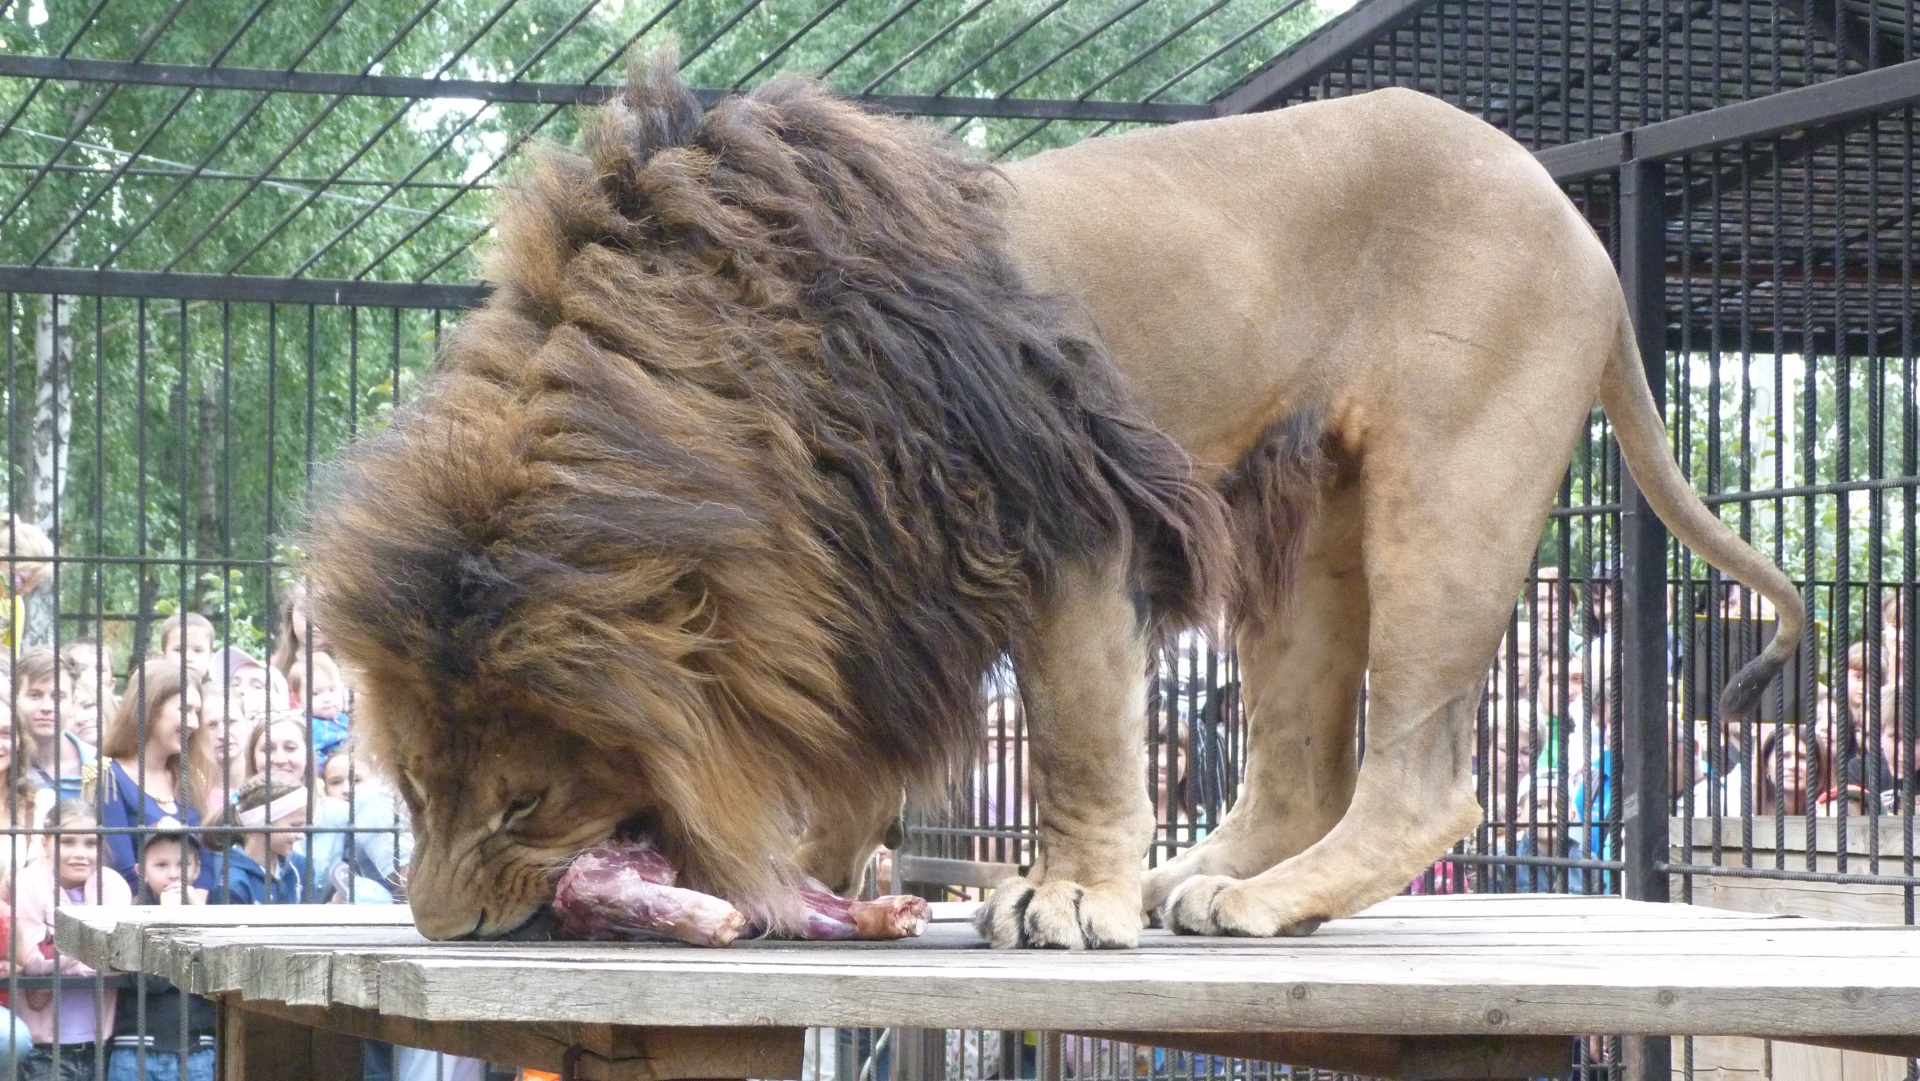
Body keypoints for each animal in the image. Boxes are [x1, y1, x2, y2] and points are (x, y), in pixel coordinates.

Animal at [305, 55, 1801, 947]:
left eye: (520, 801)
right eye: (412, 788)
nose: (440, 928)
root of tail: (1569, 209)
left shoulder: (1062, 518)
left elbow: (1080, 732)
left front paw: (1071, 893)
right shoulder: (861, 589)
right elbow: (848, 751)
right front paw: (825, 875)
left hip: (1451, 485)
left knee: (1422, 782)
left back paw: (1254, 903)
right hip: (1306, 517)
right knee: (1301, 764)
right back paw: (1204, 875)